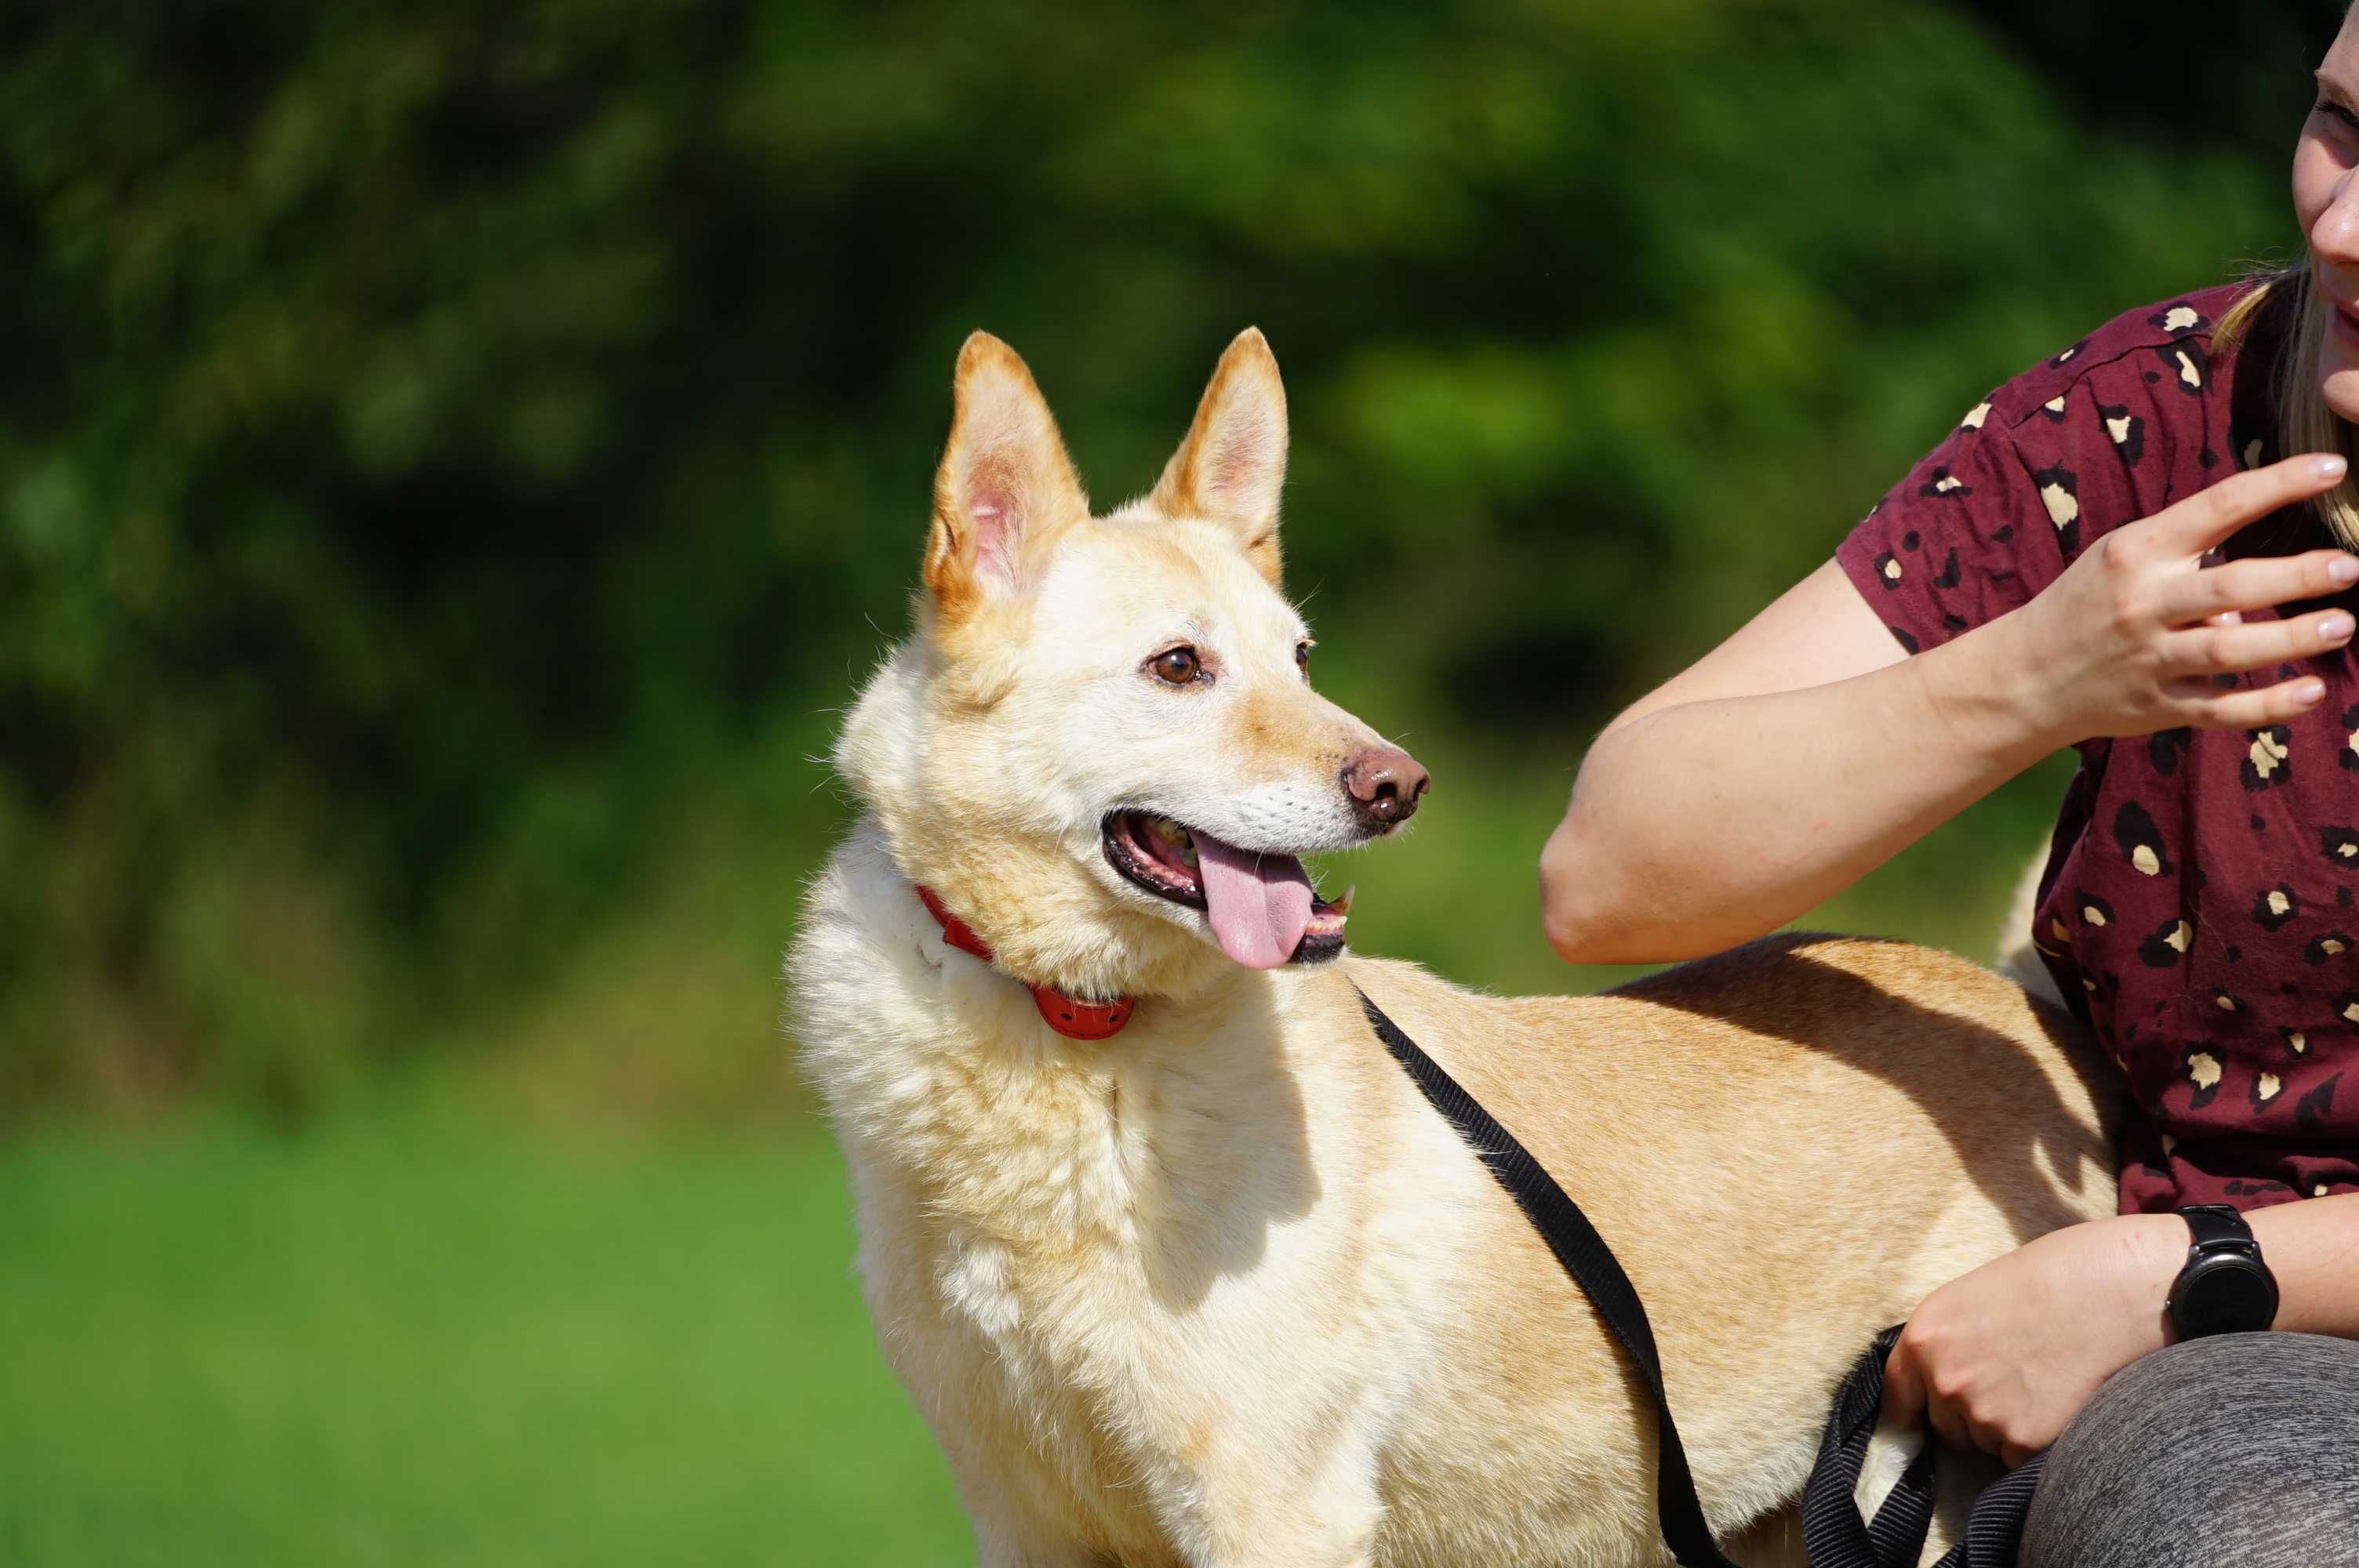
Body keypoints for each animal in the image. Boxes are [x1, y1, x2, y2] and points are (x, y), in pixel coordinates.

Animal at [792, 330, 2123, 1565]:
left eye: (1301, 660)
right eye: (1178, 666)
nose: (1400, 786)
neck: (1073, 1035)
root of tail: (2038, 1013)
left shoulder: (1276, 1513)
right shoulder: (1025, 1517)